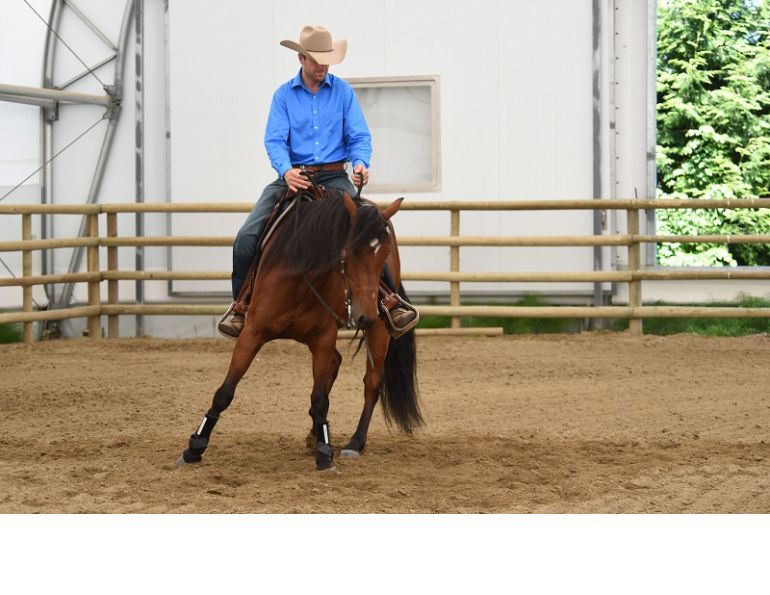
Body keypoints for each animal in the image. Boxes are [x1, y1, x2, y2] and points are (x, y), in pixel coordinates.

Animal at [177, 187, 422, 471]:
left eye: (383, 256)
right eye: (349, 252)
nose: (365, 314)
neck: (301, 272)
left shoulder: (324, 336)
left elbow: (320, 398)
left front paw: (325, 453)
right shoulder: (252, 332)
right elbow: (225, 392)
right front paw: (194, 448)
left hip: (378, 328)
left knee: (371, 381)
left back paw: (354, 442)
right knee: (337, 363)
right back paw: (315, 433)